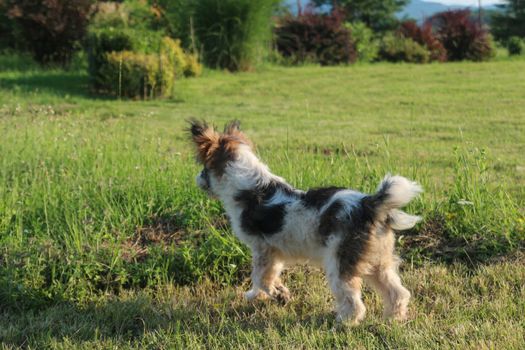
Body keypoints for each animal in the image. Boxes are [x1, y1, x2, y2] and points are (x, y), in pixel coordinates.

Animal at [188, 120, 422, 326]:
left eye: (204, 168)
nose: (196, 179)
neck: (249, 186)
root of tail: (369, 205)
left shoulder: (263, 249)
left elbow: (261, 278)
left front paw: (276, 295)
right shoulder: (274, 254)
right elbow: (266, 278)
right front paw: (265, 294)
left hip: (340, 263)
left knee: (354, 302)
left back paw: (344, 322)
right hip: (377, 261)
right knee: (398, 293)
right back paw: (394, 319)